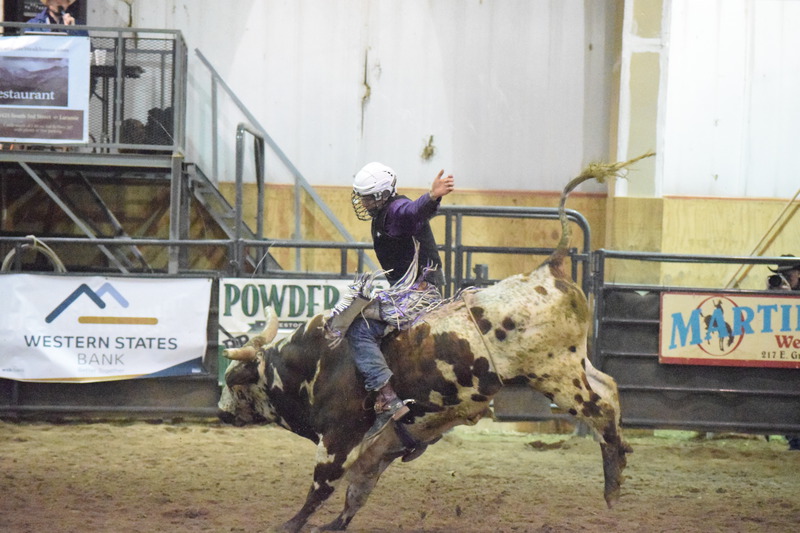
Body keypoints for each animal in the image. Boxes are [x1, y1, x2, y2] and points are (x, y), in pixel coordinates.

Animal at [217, 156, 648, 528]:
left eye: (233, 381)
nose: (220, 413)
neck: (314, 364)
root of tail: (549, 267)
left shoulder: (338, 440)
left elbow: (319, 491)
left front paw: (289, 524)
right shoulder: (378, 451)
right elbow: (354, 496)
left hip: (555, 374)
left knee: (600, 410)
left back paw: (614, 476)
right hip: (573, 363)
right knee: (609, 389)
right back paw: (616, 477)